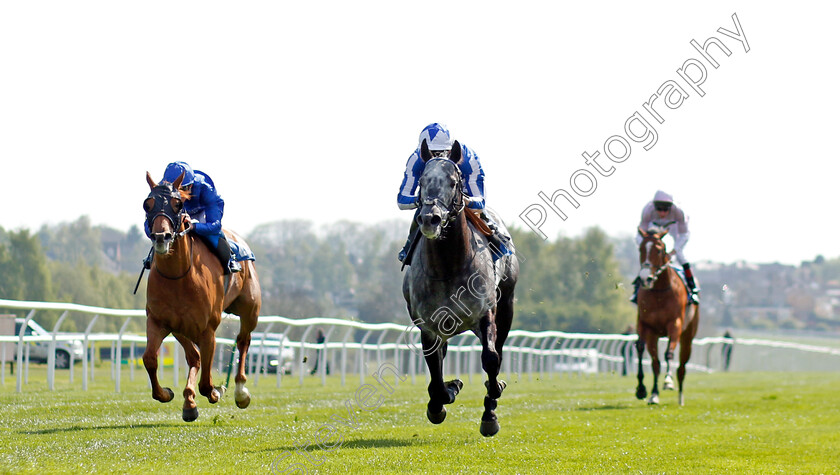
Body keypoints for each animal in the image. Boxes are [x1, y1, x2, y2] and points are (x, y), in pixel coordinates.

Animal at [141, 170, 260, 420]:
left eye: (178, 204)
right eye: (147, 204)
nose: (161, 237)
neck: (179, 277)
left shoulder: (208, 329)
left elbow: (206, 382)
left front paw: (216, 391)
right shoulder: (161, 321)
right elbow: (150, 358)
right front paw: (168, 394)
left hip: (250, 309)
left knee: (243, 340)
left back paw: (240, 391)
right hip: (182, 327)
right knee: (194, 356)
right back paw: (189, 401)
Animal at [402, 139, 520, 438]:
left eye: (454, 182)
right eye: (422, 180)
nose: (430, 219)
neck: (448, 266)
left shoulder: (486, 312)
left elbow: (491, 359)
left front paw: (491, 410)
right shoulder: (429, 325)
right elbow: (435, 372)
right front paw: (444, 397)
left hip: (507, 305)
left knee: (498, 350)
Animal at [636, 227, 696, 406]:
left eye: (659, 249)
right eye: (640, 249)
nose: (645, 278)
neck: (659, 292)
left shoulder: (674, 324)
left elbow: (669, 354)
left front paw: (668, 381)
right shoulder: (646, 325)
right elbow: (642, 349)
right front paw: (641, 389)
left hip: (688, 336)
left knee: (682, 366)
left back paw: (680, 397)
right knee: (656, 363)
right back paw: (654, 394)